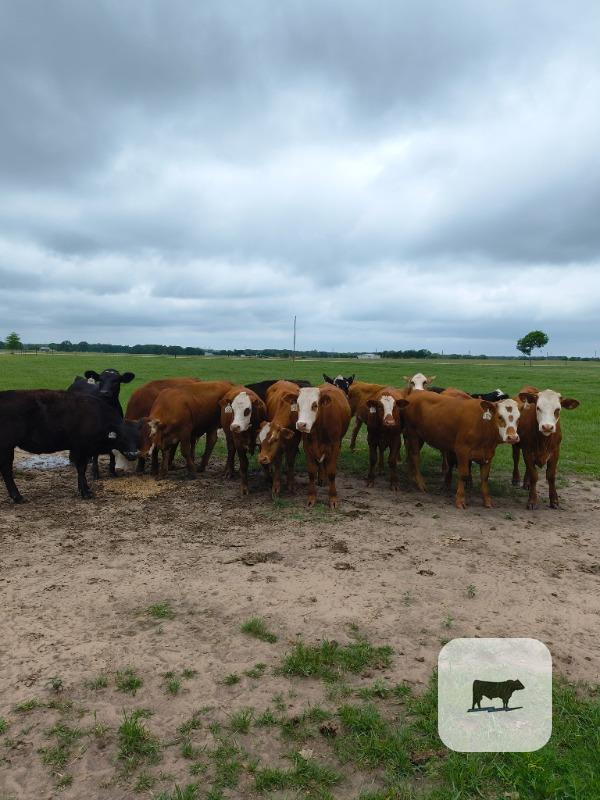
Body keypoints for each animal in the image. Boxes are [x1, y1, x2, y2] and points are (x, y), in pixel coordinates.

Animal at [0, 390, 141, 502]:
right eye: (122, 437)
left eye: (138, 438)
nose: (133, 454)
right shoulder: (81, 449)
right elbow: (81, 469)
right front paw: (85, 492)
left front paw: (84, 488)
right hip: (7, 446)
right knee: (6, 470)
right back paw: (17, 497)